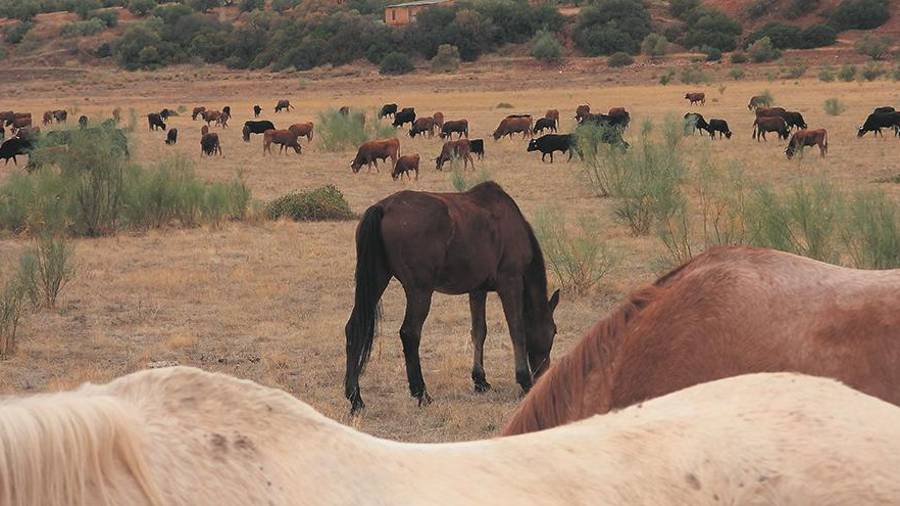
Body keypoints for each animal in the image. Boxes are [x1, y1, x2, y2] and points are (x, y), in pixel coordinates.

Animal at [342, 184, 556, 414]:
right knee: (410, 333)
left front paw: (480, 380)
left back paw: (355, 398)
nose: (544, 375)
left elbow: (479, 332)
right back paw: (421, 393)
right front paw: (524, 380)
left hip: (377, 279)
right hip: (419, 291)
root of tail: (384, 207)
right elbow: (517, 331)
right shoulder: (511, 283)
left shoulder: (477, 290)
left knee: (354, 328)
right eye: (554, 331)